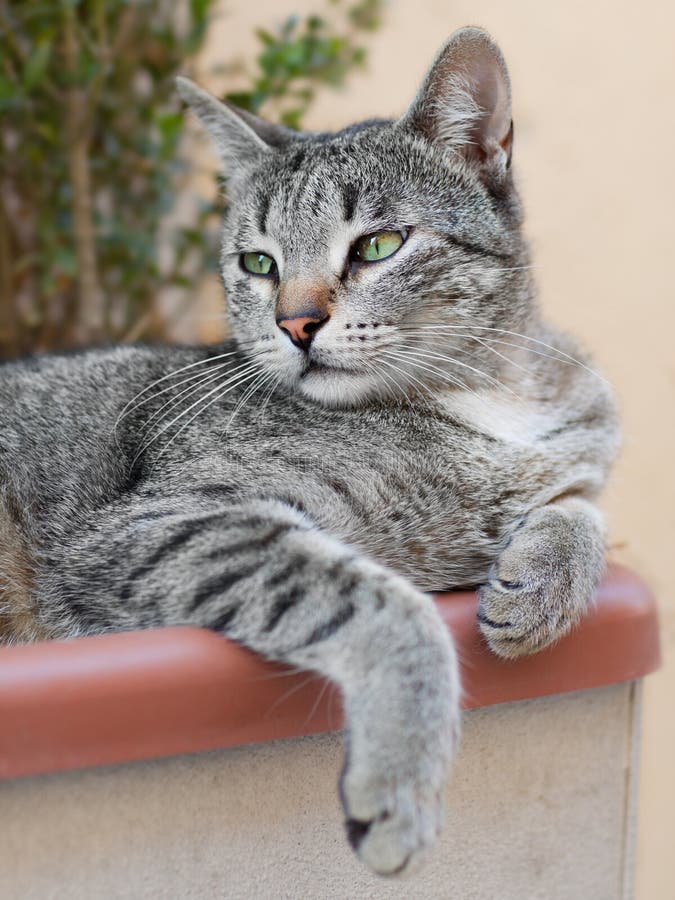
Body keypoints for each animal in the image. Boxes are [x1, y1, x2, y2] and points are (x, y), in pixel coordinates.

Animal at [0, 29, 620, 880]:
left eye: (378, 245)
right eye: (257, 263)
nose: (294, 324)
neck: (489, 394)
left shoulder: (579, 448)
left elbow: (579, 504)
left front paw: (541, 583)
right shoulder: (155, 524)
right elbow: (387, 605)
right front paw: (399, 784)